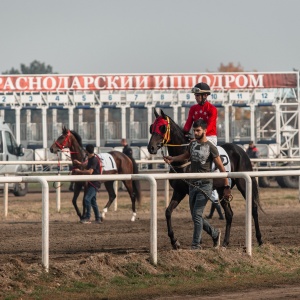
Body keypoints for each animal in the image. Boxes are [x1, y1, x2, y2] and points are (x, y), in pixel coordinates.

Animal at [148, 109, 262, 250]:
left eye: (162, 127)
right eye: (152, 127)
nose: (151, 147)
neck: (185, 160)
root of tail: (241, 150)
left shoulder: (193, 191)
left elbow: (195, 214)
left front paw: (203, 239)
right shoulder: (179, 191)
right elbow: (168, 212)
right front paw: (175, 241)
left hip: (243, 184)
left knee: (253, 207)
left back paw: (259, 239)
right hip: (223, 190)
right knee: (229, 214)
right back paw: (225, 242)